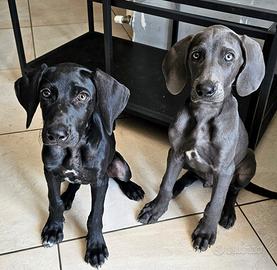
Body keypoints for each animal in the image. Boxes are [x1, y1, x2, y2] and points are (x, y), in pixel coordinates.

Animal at [14, 63, 144, 268]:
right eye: (45, 93)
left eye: (82, 96)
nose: (56, 135)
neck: (73, 150)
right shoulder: (50, 172)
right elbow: (54, 201)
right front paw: (54, 228)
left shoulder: (100, 181)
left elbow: (96, 215)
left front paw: (96, 246)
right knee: (73, 185)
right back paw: (67, 196)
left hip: (120, 166)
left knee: (120, 176)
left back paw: (132, 188)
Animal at [137, 24, 264, 251]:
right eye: (196, 55)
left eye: (229, 56)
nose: (205, 89)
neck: (204, 115)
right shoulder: (175, 153)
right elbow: (165, 183)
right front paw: (157, 208)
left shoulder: (224, 169)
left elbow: (216, 203)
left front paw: (206, 231)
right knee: (189, 176)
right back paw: (178, 187)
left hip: (248, 161)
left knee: (233, 192)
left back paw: (228, 213)